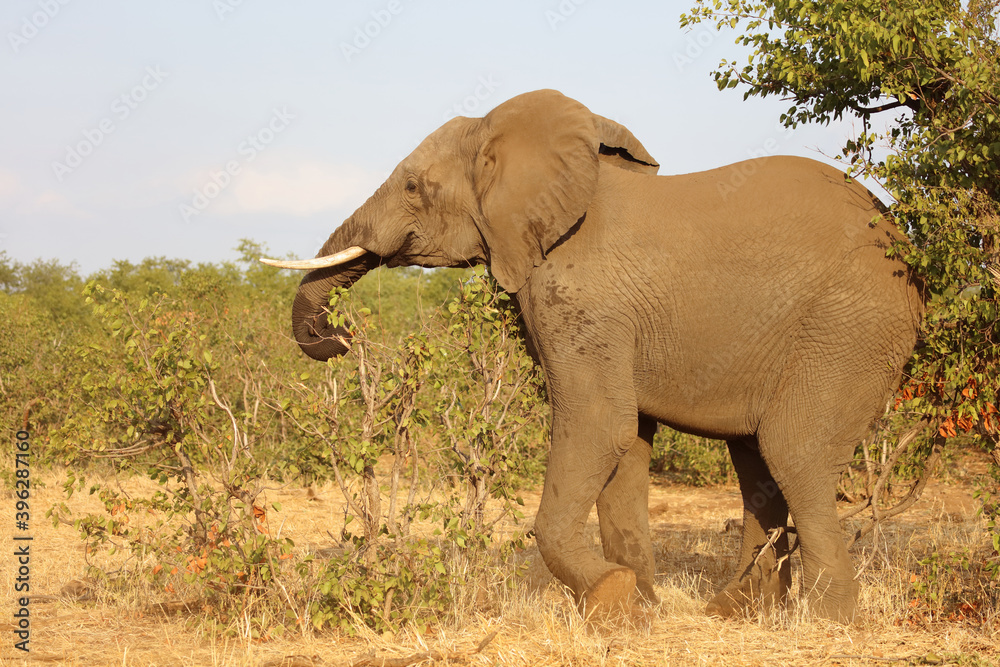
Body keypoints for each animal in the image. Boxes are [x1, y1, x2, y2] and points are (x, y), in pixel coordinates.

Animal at [262, 89, 924, 622]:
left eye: (412, 186)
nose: (341, 337)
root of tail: (907, 247)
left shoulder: (577, 295)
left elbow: (599, 424)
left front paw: (608, 600)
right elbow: (625, 445)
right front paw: (641, 605)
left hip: (849, 325)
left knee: (794, 449)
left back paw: (826, 617)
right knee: (756, 458)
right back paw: (737, 610)